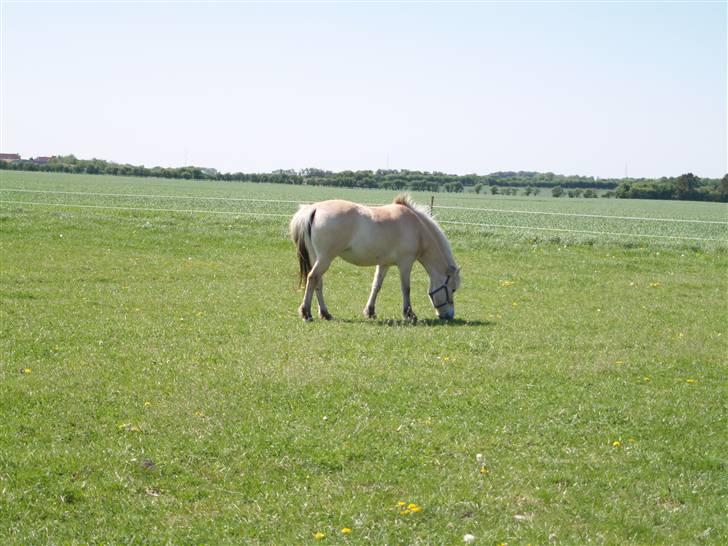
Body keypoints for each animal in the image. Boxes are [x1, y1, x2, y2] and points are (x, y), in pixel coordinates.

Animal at [286, 193, 460, 320]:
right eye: (452, 289)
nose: (449, 316)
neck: (417, 229)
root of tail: (314, 209)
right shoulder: (405, 263)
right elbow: (406, 288)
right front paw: (409, 314)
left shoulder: (384, 264)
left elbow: (376, 286)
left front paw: (370, 311)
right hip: (325, 258)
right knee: (312, 278)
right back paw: (306, 313)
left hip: (316, 258)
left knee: (318, 282)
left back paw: (325, 313)